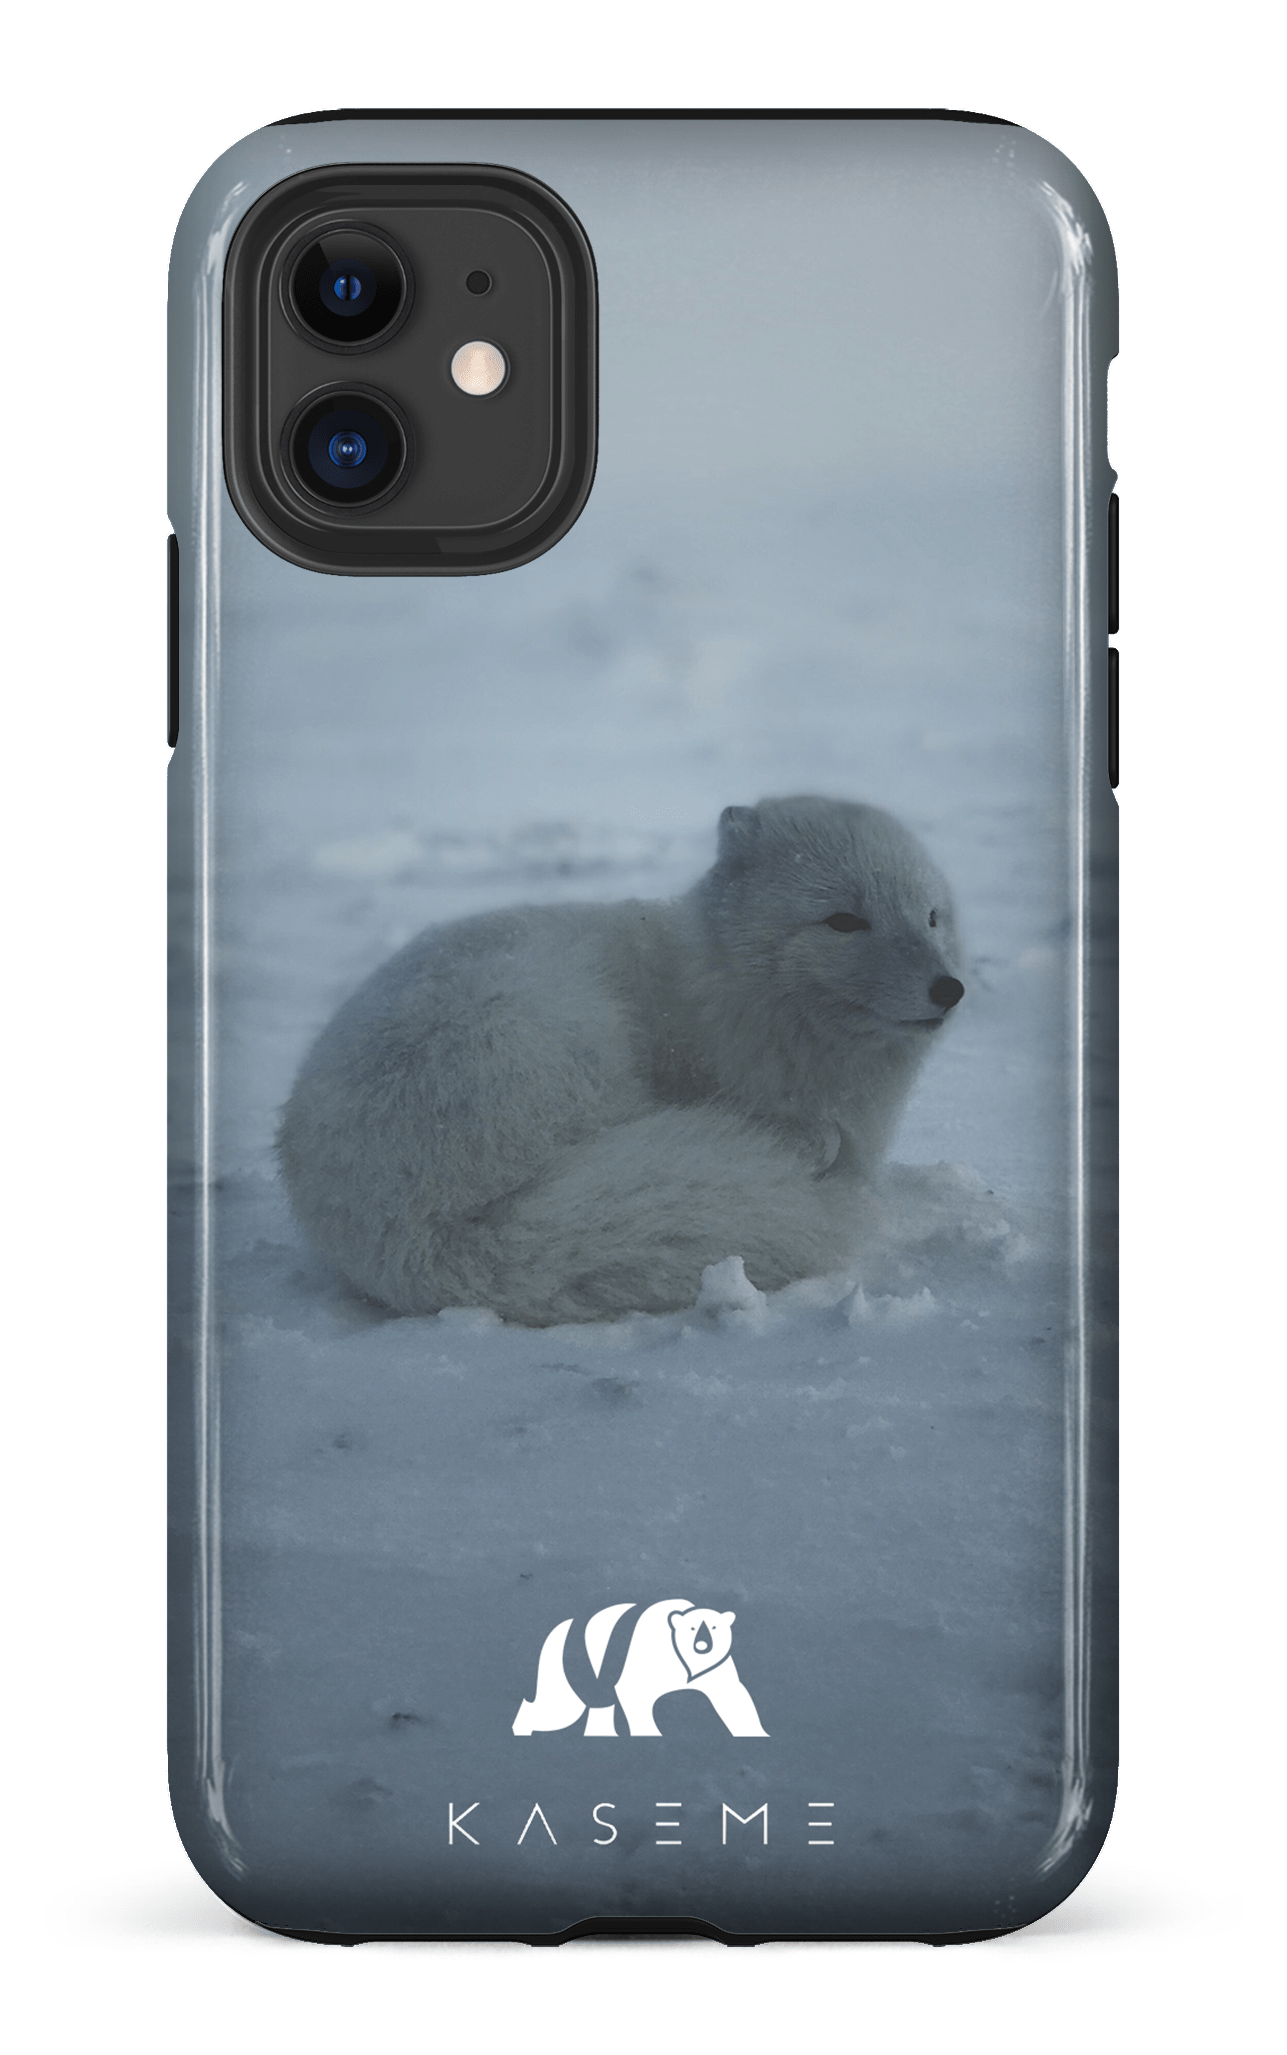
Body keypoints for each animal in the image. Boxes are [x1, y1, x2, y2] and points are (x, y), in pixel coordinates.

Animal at [277, 796, 965, 1325]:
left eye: (931, 916)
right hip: (554, 1034)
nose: (950, 988)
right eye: (844, 920)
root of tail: (418, 1235)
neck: (723, 990)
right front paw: (810, 1143)